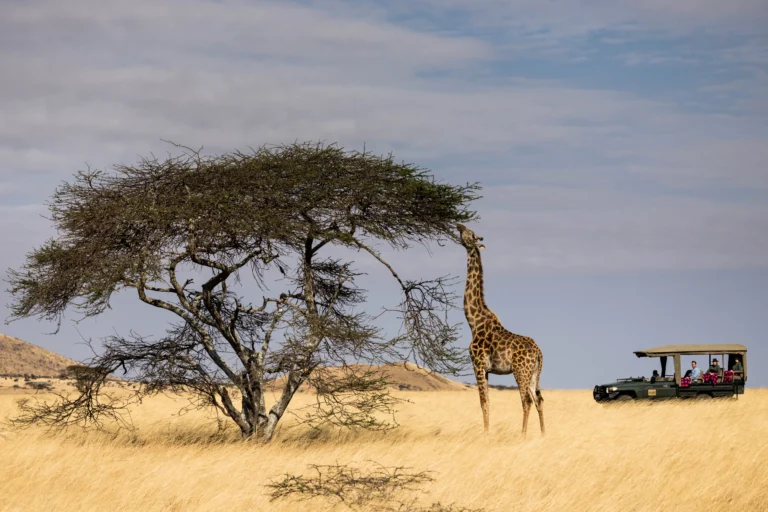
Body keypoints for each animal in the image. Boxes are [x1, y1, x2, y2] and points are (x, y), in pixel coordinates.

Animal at [456, 223, 544, 437]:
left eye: (470, 233)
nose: (458, 225)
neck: (474, 322)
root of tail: (539, 352)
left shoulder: (478, 364)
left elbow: (483, 402)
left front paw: (486, 434)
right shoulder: (487, 369)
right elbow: (488, 401)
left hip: (520, 371)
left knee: (526, 401)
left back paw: (523, 435)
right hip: (534, 374)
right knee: (538, 399)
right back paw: (543, 434)